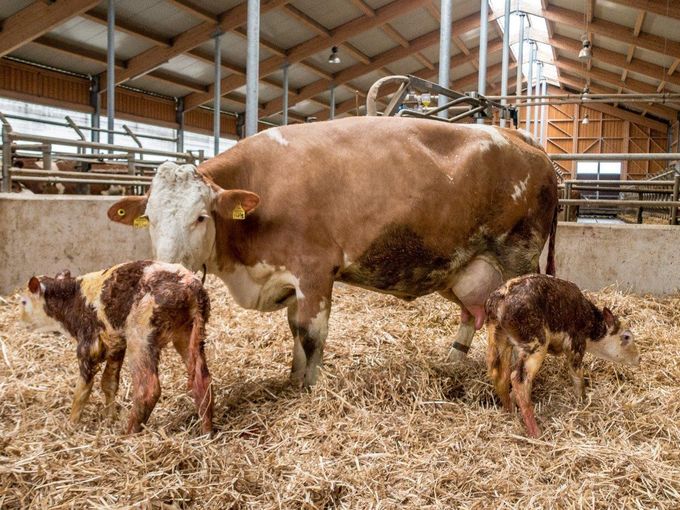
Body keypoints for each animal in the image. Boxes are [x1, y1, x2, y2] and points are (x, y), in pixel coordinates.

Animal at [20, 262, 212, 434]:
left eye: (23, 302)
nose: (21, 321)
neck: (73, 299)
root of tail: (191, 285)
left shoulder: (88, 348)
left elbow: (82, 392)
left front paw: (71, 425)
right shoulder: (115, 346)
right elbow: (109, 383)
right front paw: (109, 419)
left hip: (141, 339)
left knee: (147, 389)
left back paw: (127, 434)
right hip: (187, 334)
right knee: (202, 380)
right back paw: (206, 433)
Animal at [110, 116, 556, 386]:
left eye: (201, 216)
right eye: (148, 216)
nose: (166, 276)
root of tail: (521, 139)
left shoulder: (314, 271)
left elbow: (312, 335)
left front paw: (310, 387)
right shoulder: (288, 279)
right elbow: (295, 332)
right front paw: (293, 379)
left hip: (518, 258)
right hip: (462, 267)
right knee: (472, 313)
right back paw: (453, 360)